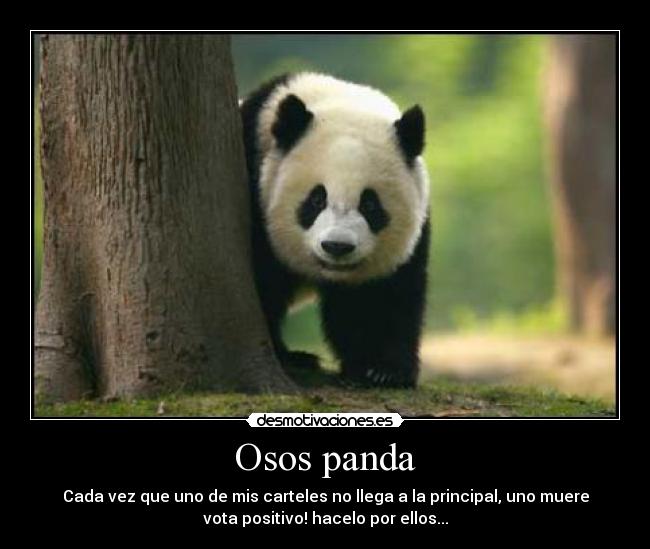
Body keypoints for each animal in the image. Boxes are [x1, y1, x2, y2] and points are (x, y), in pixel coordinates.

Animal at [240, 73, 430, 388]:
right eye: (317, 199)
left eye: (370, 204)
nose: (337, 247)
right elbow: (264, 283)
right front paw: (284, 356)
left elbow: (381, 296)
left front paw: (383, 369)